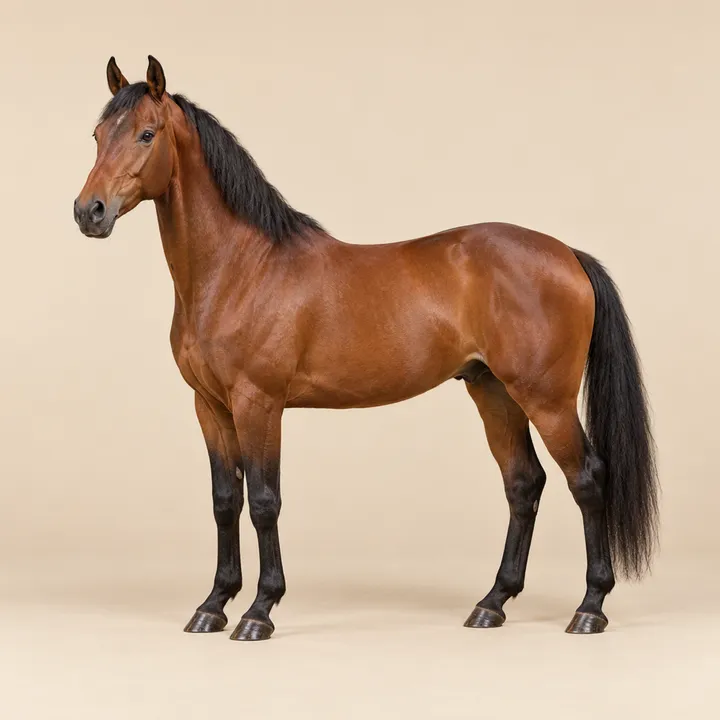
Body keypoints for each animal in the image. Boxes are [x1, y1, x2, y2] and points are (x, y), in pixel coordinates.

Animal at [74, 56, 658, 641]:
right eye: (98, 135)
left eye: (147, 134)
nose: (89, 212)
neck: (241, 268)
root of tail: (568, 254)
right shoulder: (210, 406)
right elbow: (225, 501)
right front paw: (213, 605)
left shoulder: (258, 403)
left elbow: (263, 502)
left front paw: (259, 610)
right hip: (493, 392)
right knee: (523, 483)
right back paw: (492, 603)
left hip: (546, 400)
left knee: (586, 479)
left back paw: (590, 607)